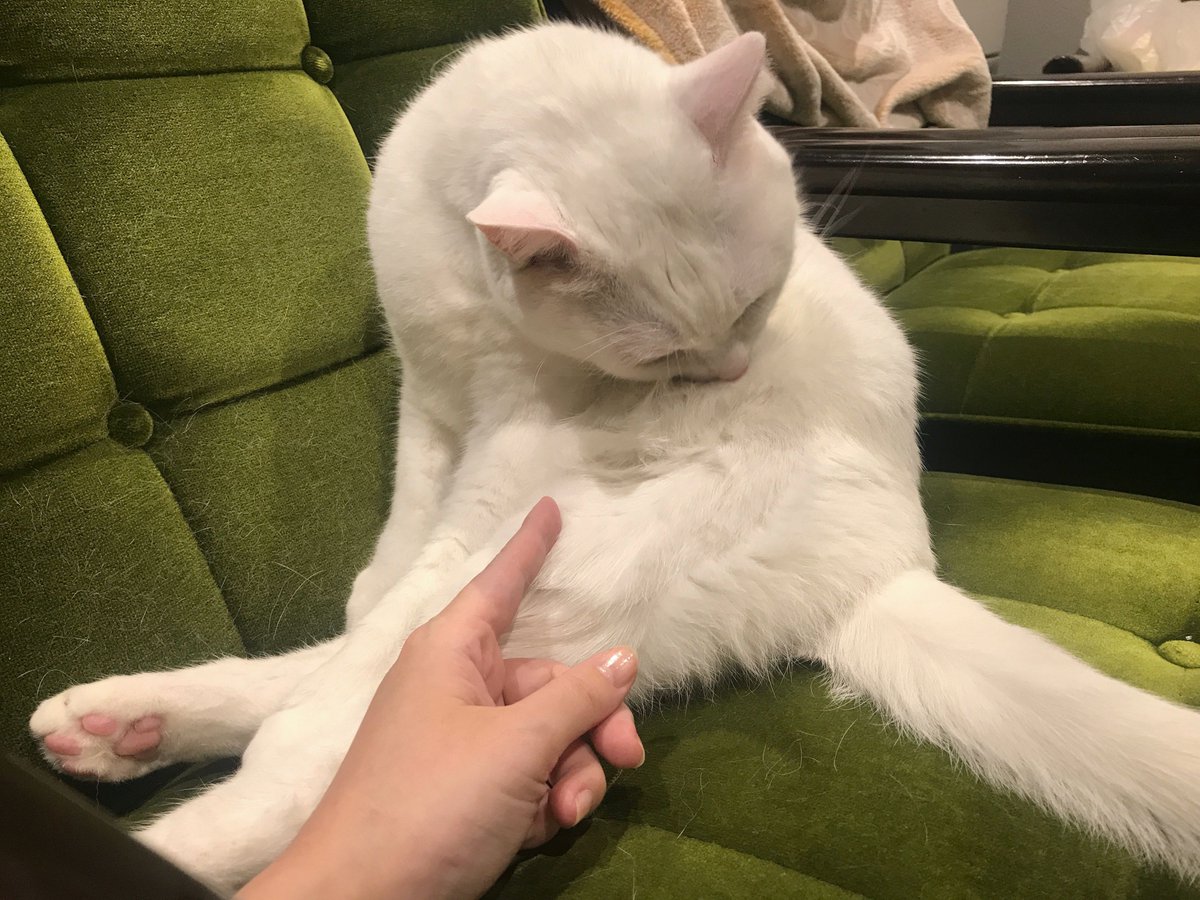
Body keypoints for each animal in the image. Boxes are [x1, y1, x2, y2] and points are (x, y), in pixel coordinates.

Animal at [29, 23, 1200, 893]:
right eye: (669, 355)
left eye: (755, 307)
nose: (727, 375)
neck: (469, 301)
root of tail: (890, 561)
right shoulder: (431, 396)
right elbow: (406, 516)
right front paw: (370, 574)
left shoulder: (505, 450)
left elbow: (413, 583)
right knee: (344, 662)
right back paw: (112, 725)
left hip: (569, 560)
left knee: (331, 734)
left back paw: (172, 808)